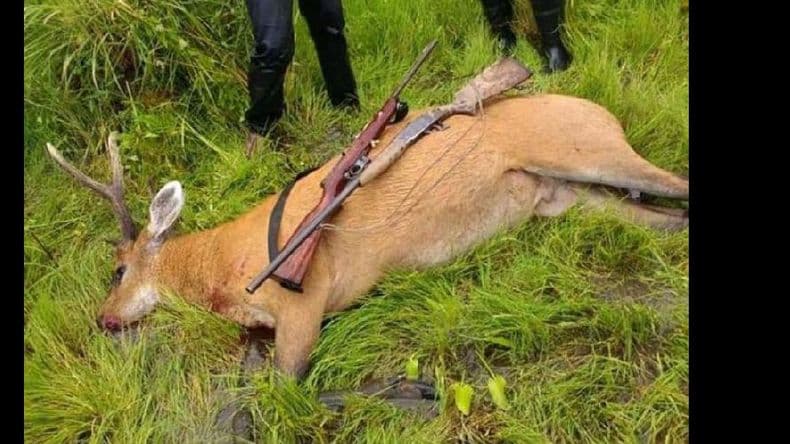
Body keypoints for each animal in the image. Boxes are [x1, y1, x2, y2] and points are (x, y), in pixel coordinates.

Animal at [45, 92, 688, 382]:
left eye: (118, 269)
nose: (102, 318)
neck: (221, 268)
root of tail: (603, 111)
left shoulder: (306, 298)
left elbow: (283, 386)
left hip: (584, 149)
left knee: (673, 186)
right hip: (560, 197)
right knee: (663, 216)